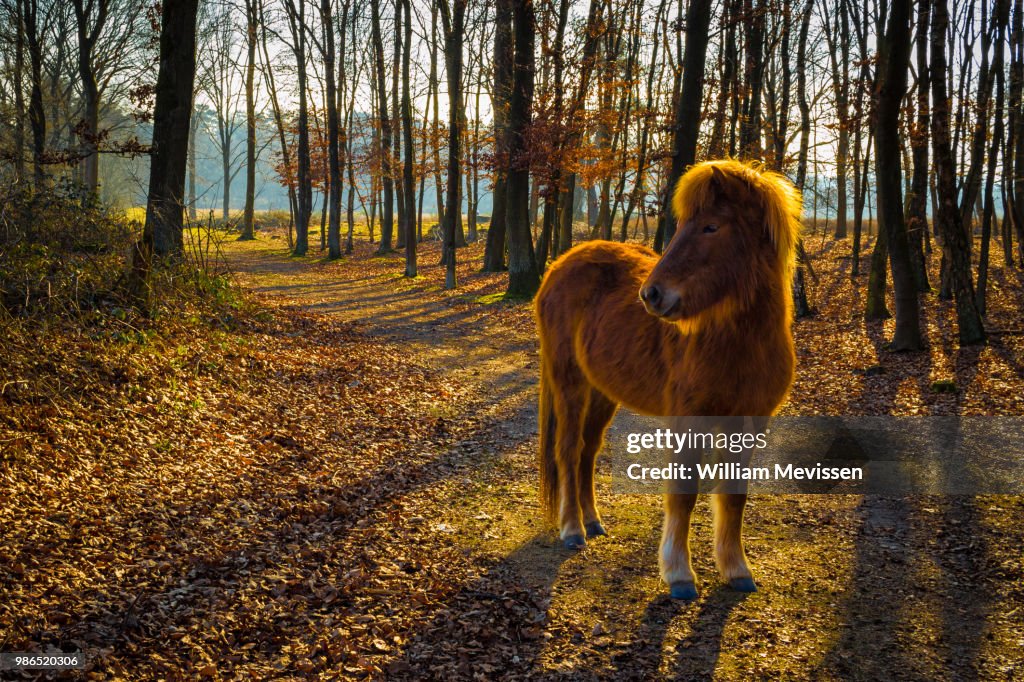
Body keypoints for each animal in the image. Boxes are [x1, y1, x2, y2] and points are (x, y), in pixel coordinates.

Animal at [536, 156, 798, 598]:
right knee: (569, 451)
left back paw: (592, 520)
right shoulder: (690, 419)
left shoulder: (749, 422)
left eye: (711, 226)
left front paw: (736, 569)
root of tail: (557, 266)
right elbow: (684, 492)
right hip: (569, 382)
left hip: (602, 392)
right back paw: (572, 529)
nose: (651, 295)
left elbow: (735, 495)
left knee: (588, 451)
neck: (737, 342)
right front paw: (679, 574)